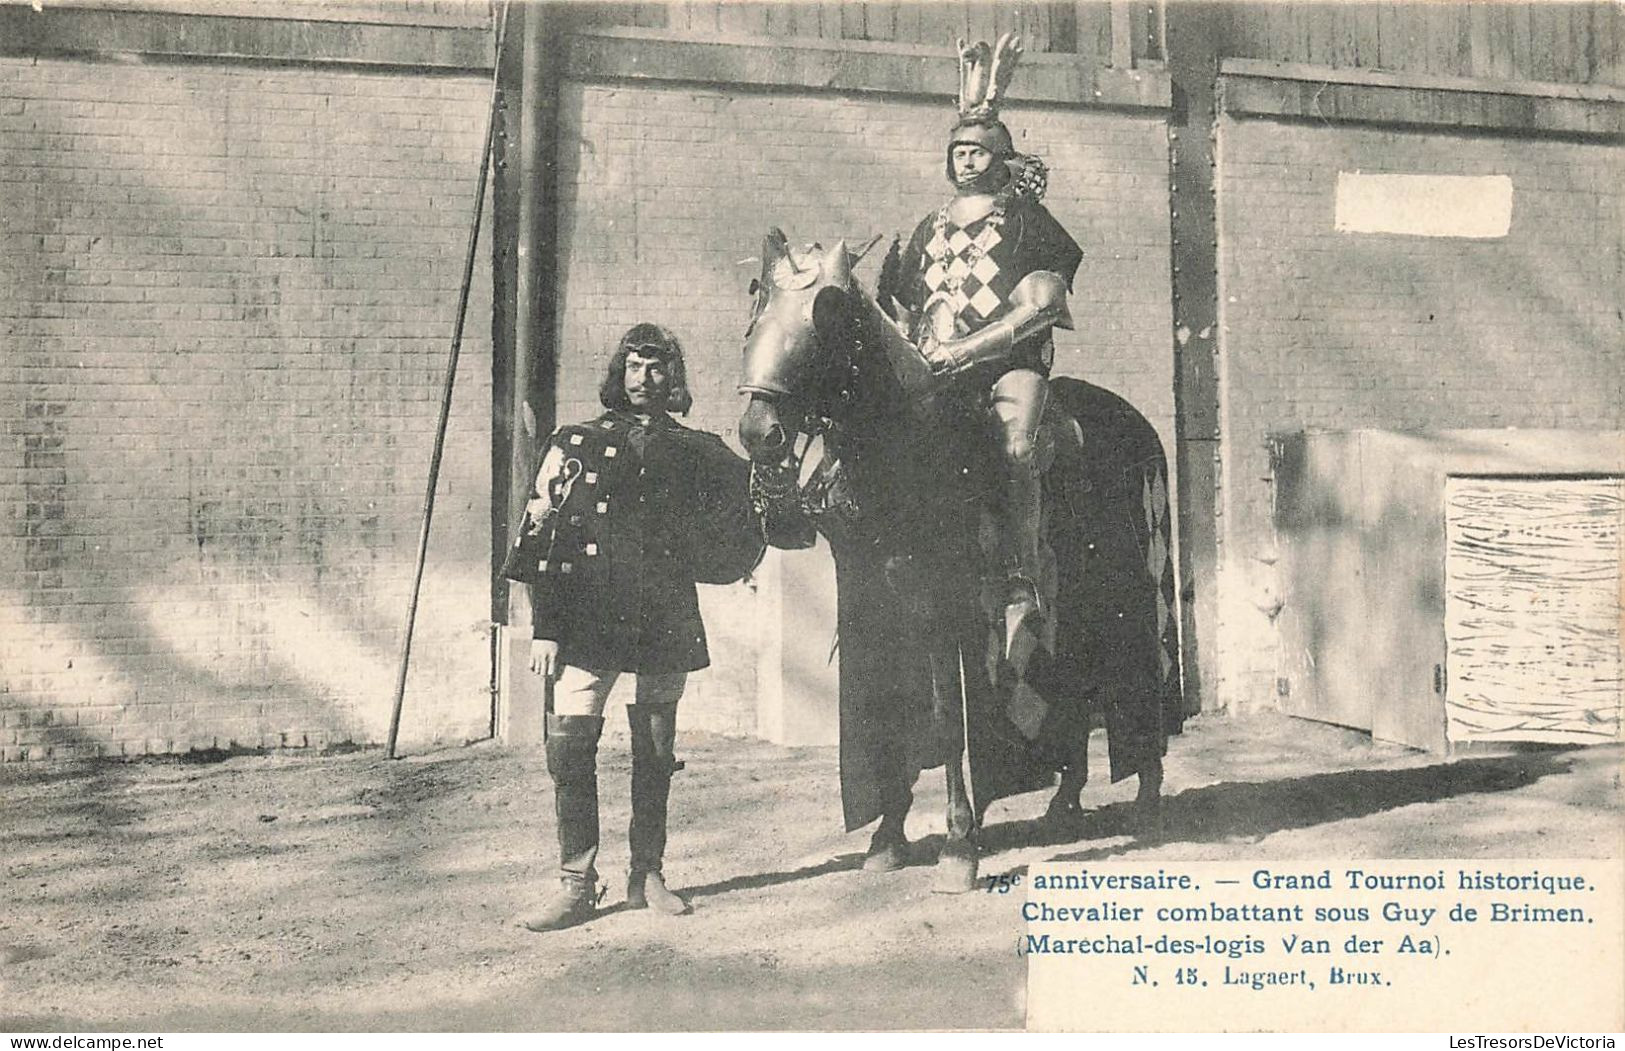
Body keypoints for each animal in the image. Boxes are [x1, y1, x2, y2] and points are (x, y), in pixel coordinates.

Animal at [737, 232, 1183, 896]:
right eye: (757, 312)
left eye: (827, 318)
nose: (759, 432)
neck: (905, 448)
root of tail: (1137, 424)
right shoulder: (869, 602)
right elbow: (889, 715)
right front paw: (888, 835)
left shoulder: (940, 608)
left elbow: (949, 721)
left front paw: (958, 845)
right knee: (1074, 694)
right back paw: (1064, 804)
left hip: (1131, 595)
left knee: (1140, 689)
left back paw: (1149, 802)